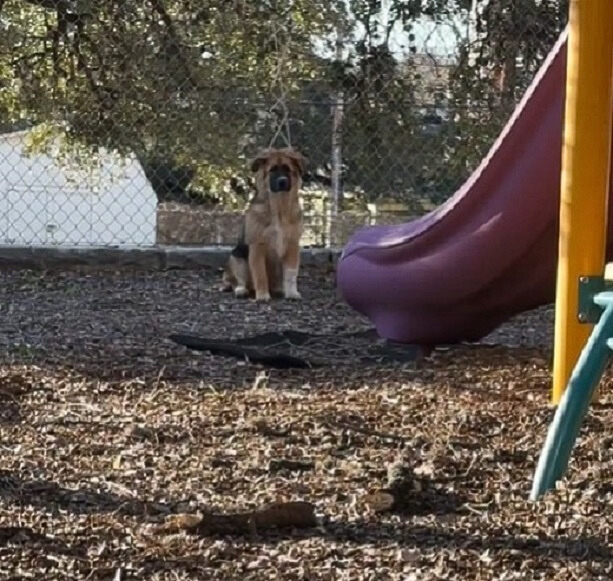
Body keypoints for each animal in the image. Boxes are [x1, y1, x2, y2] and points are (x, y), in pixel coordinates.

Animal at [222, 147, 306, 302]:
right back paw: (241, 290)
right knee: (238, 281)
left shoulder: (292, 246)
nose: (282, 181)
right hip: (237, 257)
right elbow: (260, 274)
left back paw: (280, 289)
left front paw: (292, 293)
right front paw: (262, 296)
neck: (279, 209)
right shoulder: (257, 247)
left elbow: (291, 274)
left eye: (287, 169)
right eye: (272, 170)